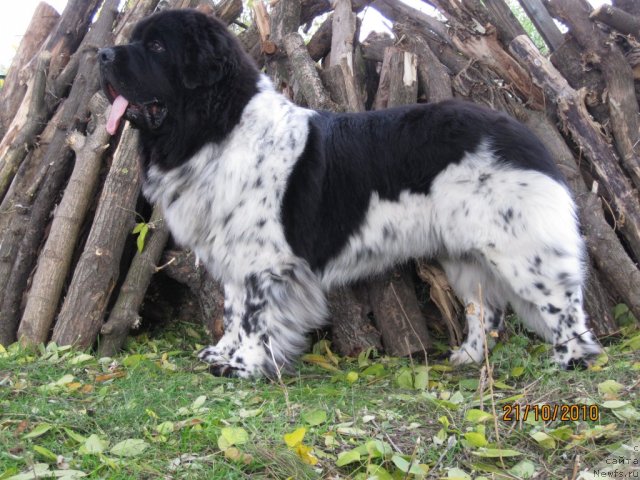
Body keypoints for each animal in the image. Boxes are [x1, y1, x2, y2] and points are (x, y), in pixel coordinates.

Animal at [97, 6, 604, 376]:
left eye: (156, 45)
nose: (102, 54)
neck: (217, 126)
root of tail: (522, 132)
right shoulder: (235, 252)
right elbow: (233, 307)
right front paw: (223, 353)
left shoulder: (264, 261)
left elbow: (254, 314)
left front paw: (245, 365)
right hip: (467, 255)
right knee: (486, 311)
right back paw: (468, 357)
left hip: (521, 247)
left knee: (564, 303)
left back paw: (573, 360)